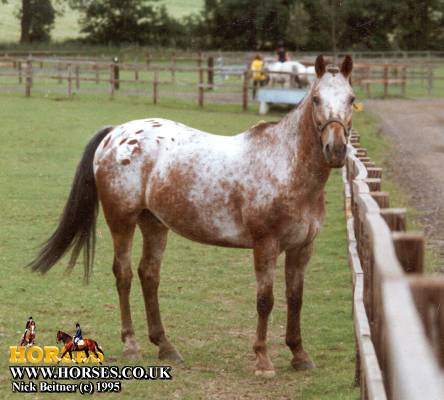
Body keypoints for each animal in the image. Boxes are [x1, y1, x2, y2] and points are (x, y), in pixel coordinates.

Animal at [30, 56, 354, 378]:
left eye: (351, 99)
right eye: (316, 99)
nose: (336, 150)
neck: (284, 164)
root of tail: (115, 133)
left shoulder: (302, 248)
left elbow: (295, 298)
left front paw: (299, 354)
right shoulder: (266, 245)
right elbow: (265, 300)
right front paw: (263, 360)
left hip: (154, 224)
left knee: (149, 275)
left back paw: (165, 345)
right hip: (122, 221)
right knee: (123, 275)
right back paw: (131, 344)